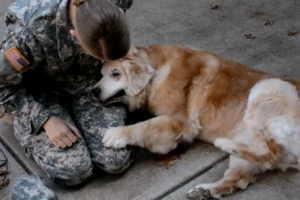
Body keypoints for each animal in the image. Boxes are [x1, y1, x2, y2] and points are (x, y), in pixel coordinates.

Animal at [91, 44, 300, 199]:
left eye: (116, 74)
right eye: (101, 74)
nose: (94, 91)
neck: (157, 70)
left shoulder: (181, 123)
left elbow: (145, 126)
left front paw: (116, 133)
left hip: (267, 88)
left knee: (270, 153)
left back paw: (224, 144)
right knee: (244, 175)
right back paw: (205, 189)